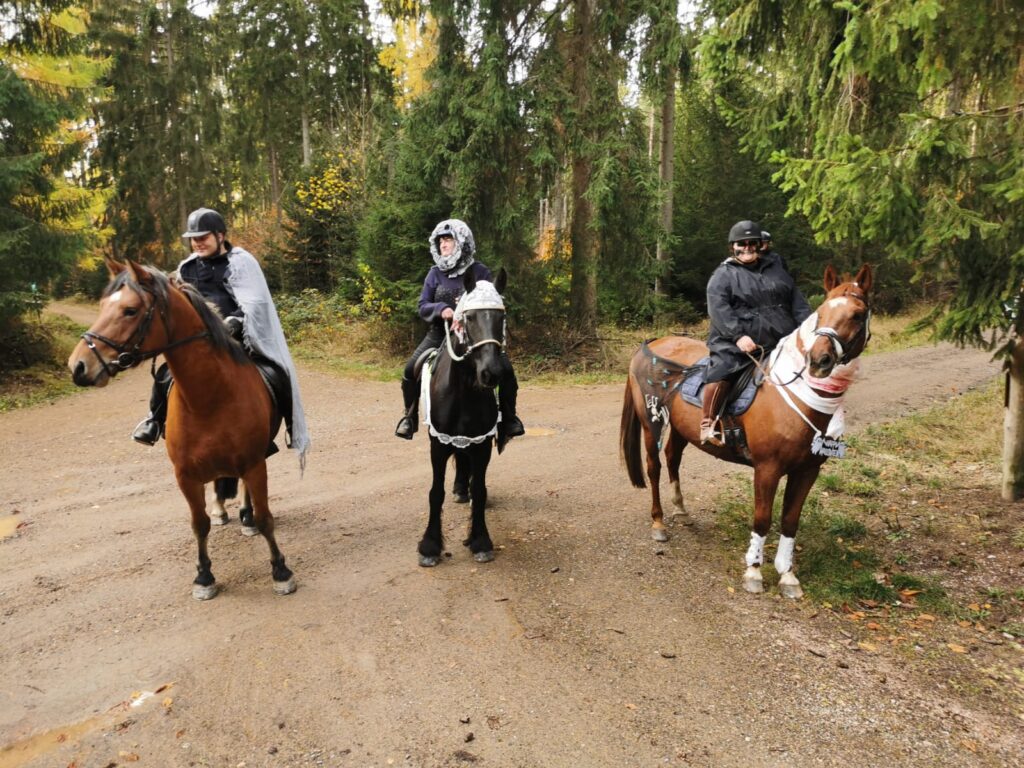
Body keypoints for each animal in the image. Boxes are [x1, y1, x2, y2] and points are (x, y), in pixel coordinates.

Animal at [68, 258, 295, 600]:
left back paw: (245, 517)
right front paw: (203, 576)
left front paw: (281, 571)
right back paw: (222, 511)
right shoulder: (185, 474)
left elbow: (265, 517)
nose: (78, 366)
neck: (209, 396)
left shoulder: (254, 463)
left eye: (130, 310)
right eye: (102, 306)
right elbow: (198, 524)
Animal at [417, 268, 510, 567]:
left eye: (501, 317)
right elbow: (435, 493)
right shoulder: (438, 444)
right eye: (469, 318)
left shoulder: (481, 444)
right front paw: (430, 546)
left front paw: (480, 541)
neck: (463, 393)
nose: (491, 373)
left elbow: (479, 491)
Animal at [620, 265, 872, 598]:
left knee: (673, 458)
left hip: (681, 428)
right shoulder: (767, 468)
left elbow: (790, 521)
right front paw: (753, 571)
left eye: (858, 314)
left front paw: (787, 575)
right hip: (651, 423)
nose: (819, 361)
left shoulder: (808, 471)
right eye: (821, 313)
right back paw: (659, 524)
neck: (795, 399)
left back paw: (681, 510)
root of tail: (653, 344)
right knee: (654, 467)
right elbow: (762, 519)